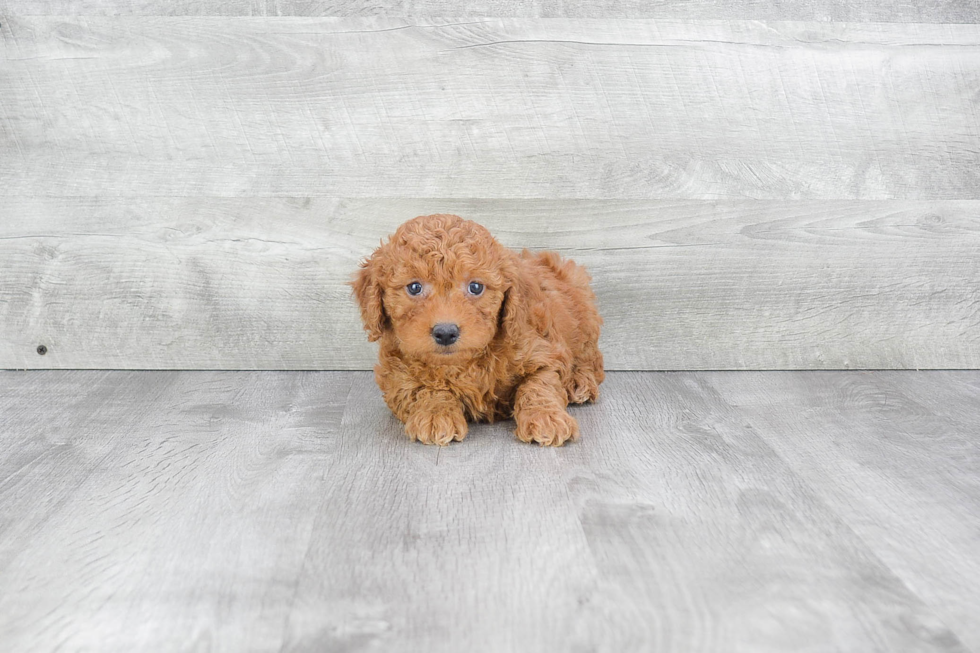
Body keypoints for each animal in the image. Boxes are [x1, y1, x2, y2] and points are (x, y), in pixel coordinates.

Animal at [348, 213, 600, 444]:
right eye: (414, 287)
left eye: (476, 287)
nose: (446, 332)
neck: (464, 363)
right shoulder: (396, 378)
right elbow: (426, 388)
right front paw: (436, 415)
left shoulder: (543, 351)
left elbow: (539, 384)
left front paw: (546, 418)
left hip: (583, 306)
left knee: (590, 357)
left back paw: (580, 382)